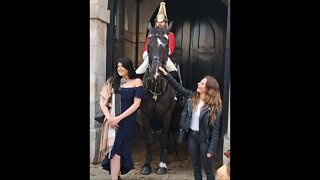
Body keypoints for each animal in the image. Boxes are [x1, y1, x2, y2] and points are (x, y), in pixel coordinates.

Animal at [138, 22, 178, 174]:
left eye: (166, 45)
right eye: (149, 44)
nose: (155, 74)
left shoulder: (167, 114)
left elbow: (163, 139)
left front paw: (162, 165)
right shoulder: (144, 114)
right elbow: (149, 139)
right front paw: (146, 165)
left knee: (173, 130)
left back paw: (173, 149)